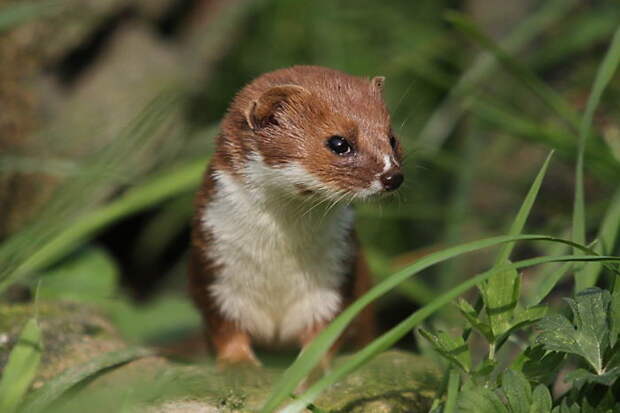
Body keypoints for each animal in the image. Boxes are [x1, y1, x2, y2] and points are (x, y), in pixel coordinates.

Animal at [188, 66, 402, 366]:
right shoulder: (211, 268)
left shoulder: (337, 275)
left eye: (392, 138)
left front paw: (311, 368)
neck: (278, 262)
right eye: (339, 142)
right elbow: (224, 326)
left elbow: (327, 330)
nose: (393, 176)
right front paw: (238, 363)